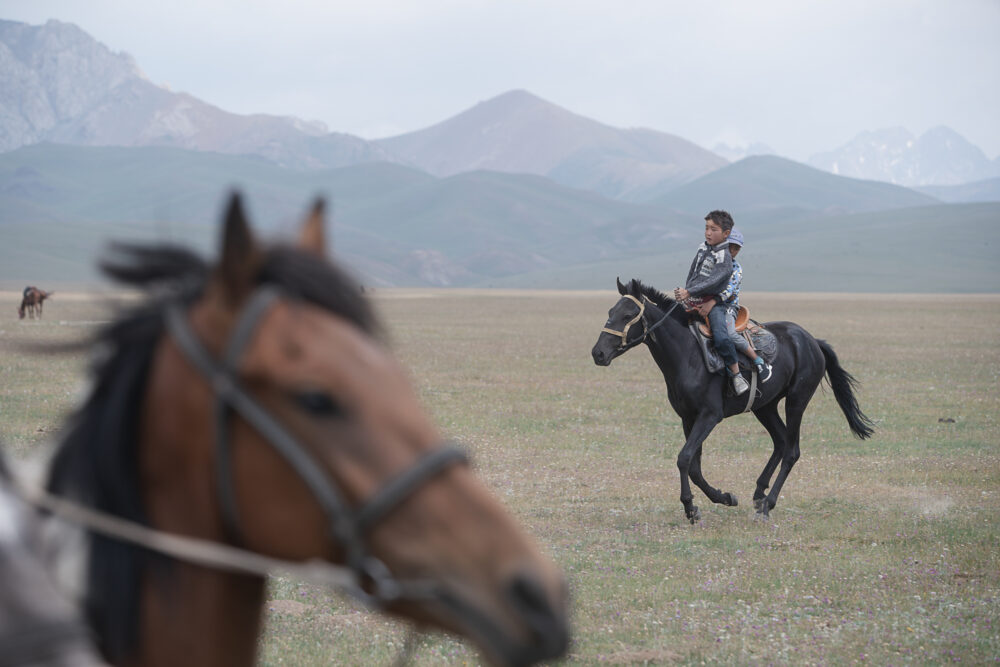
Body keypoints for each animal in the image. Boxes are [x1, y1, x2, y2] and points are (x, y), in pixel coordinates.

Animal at [591, 278, 874, 523]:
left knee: (792, 450)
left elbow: (684, 458)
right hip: (765, 406)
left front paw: (691, 507)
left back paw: (767, 504)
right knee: (781, 441)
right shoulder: (688, 418)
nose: (598, 353)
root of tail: (812, 341)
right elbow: (694, 466)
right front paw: (723, 498)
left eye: (628, 315)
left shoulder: (710, 416)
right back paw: (759, 494)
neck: (688, 355)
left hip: (796, 401)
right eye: (611, 311)